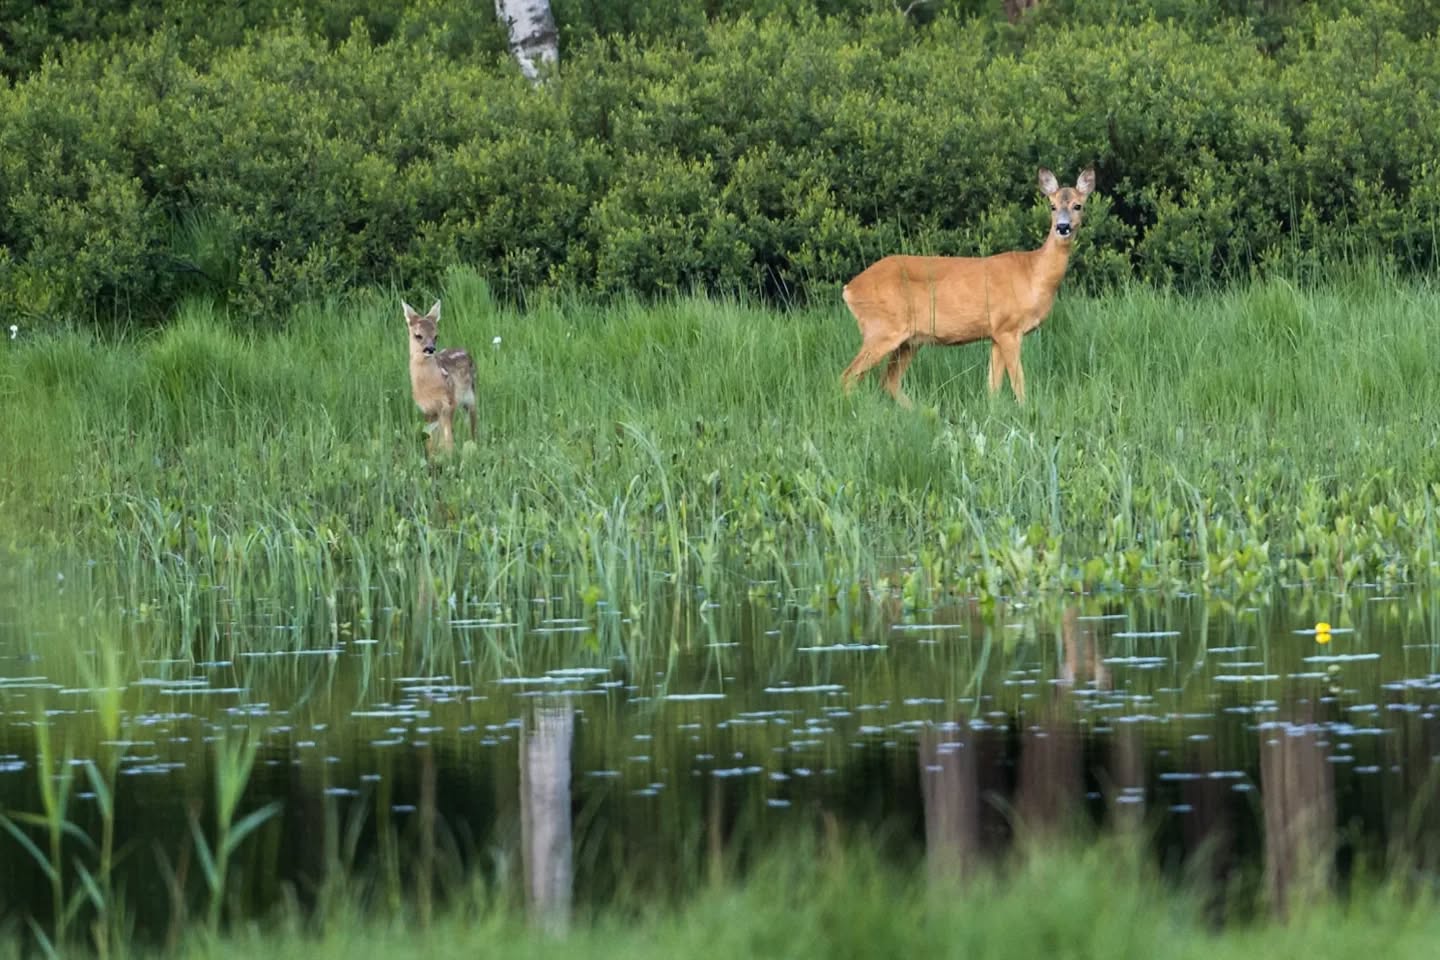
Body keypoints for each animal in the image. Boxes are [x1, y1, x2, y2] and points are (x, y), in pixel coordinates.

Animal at [402, 299, 477, 454]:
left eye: (436, 336)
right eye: (418, 335)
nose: (430, 349)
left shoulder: (449, 402)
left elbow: (447, 438)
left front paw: (449, 456)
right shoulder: (427, 409)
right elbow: (430, 440)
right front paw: (432, 456)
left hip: (470, 396)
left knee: (472, 423)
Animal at [840, 167, 1095, 407]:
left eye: (1078, 205)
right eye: (1052, 206)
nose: (1063, 227)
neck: (1033, 273)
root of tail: (849, 288)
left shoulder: (996, 333)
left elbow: (992, 387)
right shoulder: (1008, 328)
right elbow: (1018, 384)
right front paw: (1025, 411)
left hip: (909, 340)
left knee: (888, 381)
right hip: (882, 328)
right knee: (849, 376)